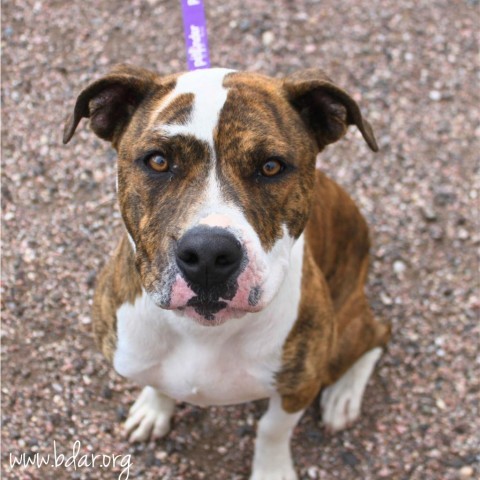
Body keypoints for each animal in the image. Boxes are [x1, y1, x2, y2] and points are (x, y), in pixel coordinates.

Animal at [63, 64, 390, 480]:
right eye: (158, 161)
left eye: (271, 167)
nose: (208, 253)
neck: (202, 332)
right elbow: (158, 382)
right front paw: (154, 408)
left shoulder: (298, 385)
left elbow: (272, 430)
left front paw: (272, 471)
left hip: (340, 339)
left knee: (378, 334)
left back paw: (343, 396)